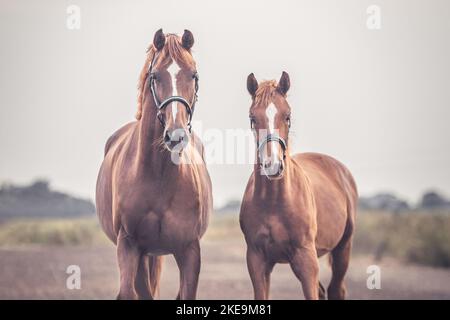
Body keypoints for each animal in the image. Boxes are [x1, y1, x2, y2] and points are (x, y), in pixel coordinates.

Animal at [94, 29, 213, 300]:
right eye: (156, 75)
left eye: (193, 75)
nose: (175, 136)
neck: (158, 176)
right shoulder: (131, 245)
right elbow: (131, 292)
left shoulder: (189, 249)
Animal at [239, 72, 358, 300]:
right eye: (252, 118)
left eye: (288, 116)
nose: (273, 165)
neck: (274, 203)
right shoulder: (257, 261)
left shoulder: (306, 260)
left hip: (343, 248)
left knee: (336, 289)